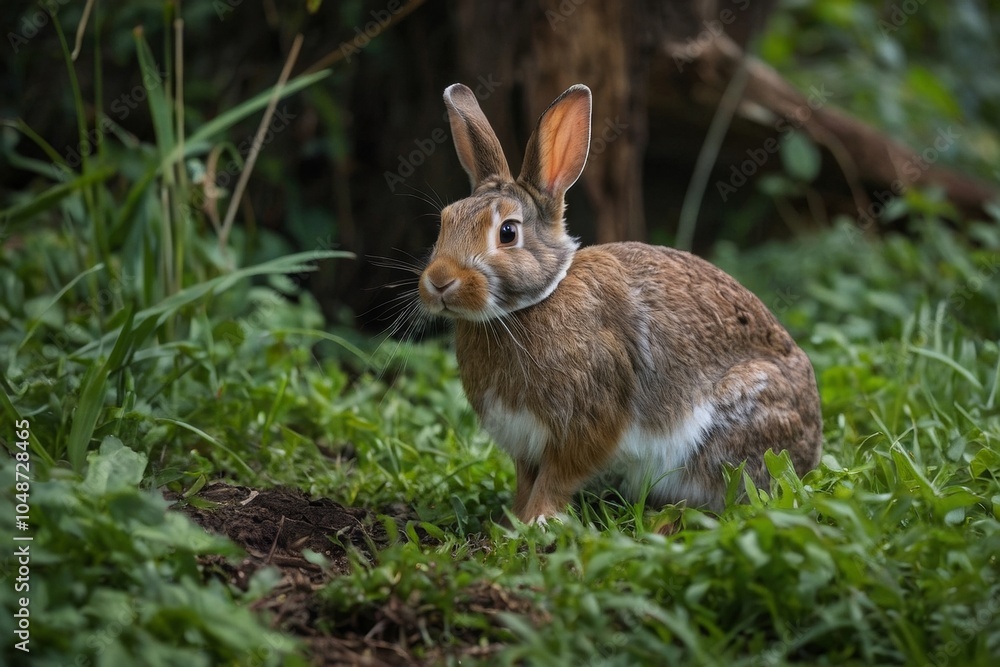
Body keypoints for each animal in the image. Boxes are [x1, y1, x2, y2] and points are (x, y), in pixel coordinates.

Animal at [417, 82, 822, 523]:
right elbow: (528, 479)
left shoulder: (586, 422)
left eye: (507, 232)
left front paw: (537, 520)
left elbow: (557, 476)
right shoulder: (524, 440)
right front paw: (514, 520)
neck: (527, 306)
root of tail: (810, 448)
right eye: (444, 222)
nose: (439, 282)